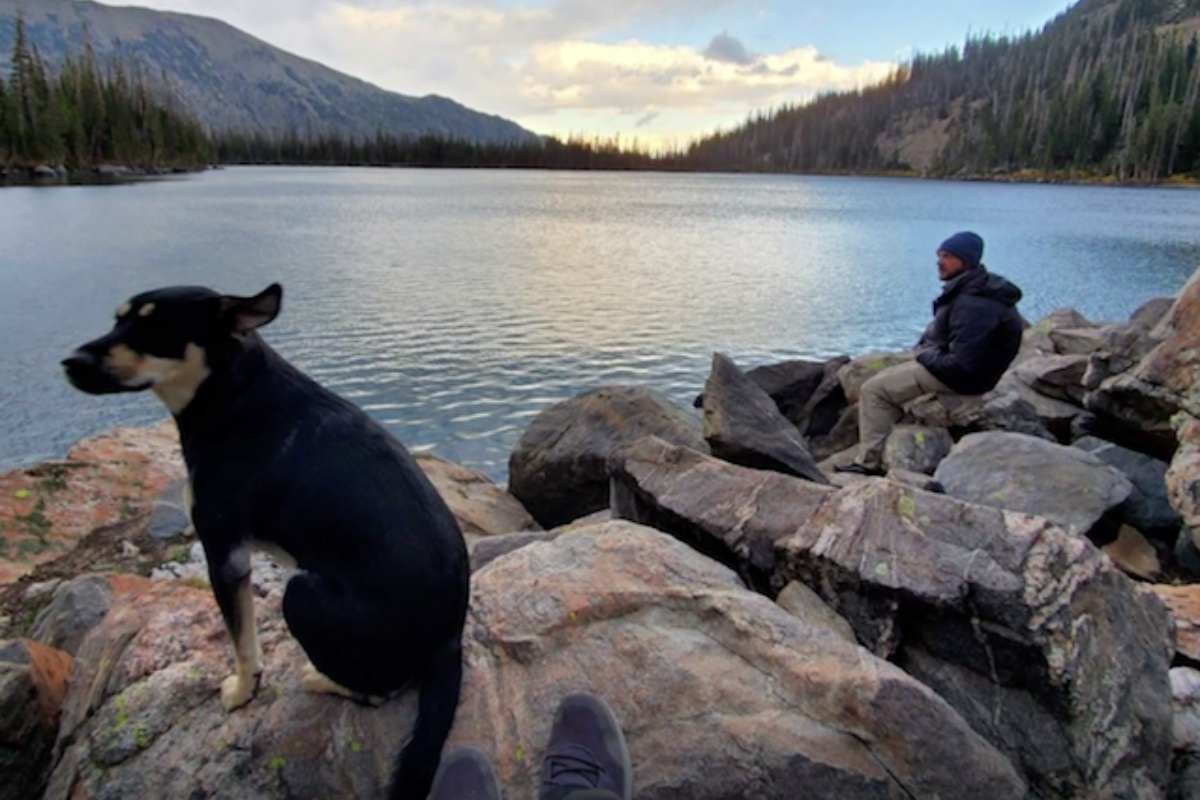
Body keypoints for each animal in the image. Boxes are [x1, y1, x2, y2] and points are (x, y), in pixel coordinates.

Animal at [62, 283, 468, 800]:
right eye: (118, 320)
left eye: (155, 328)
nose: (70, 361)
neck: (233, 394)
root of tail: (449, 640)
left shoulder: (224, 553)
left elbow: (241, 642)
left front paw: (241, 692)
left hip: (302, 594)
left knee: (380, 688)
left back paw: (323, 679)